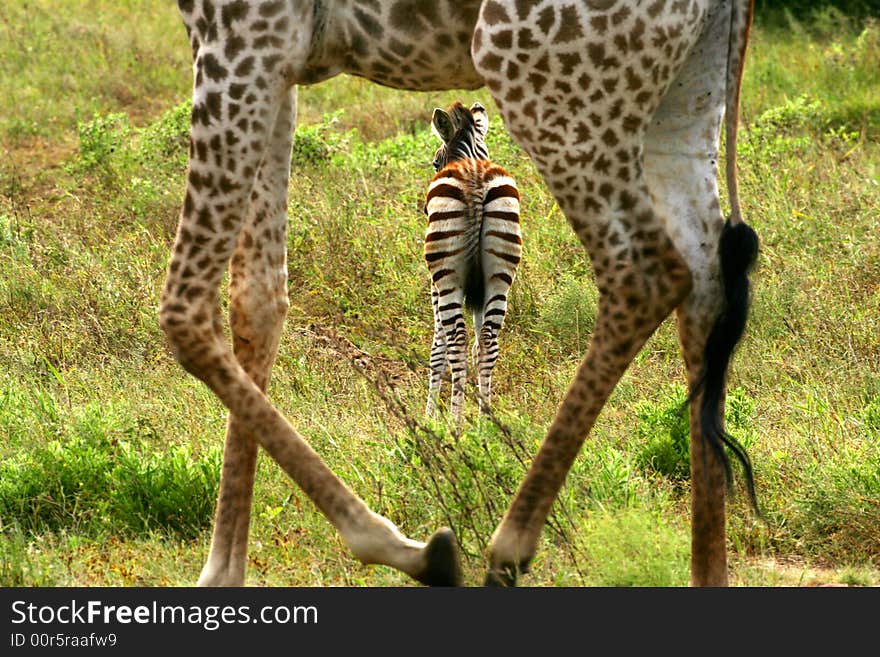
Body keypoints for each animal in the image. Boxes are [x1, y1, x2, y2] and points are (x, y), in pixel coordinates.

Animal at [422, 102, 520, 420]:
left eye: (435, 163)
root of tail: (476, 179)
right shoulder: (480, 292)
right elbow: (478, 346)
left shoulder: (434, 288)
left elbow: (437, 351)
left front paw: (429, 417)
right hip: (499, 277)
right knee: (488, 341)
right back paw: (484, 422)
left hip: (448, 279)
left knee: (457, 341)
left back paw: (455, 423)